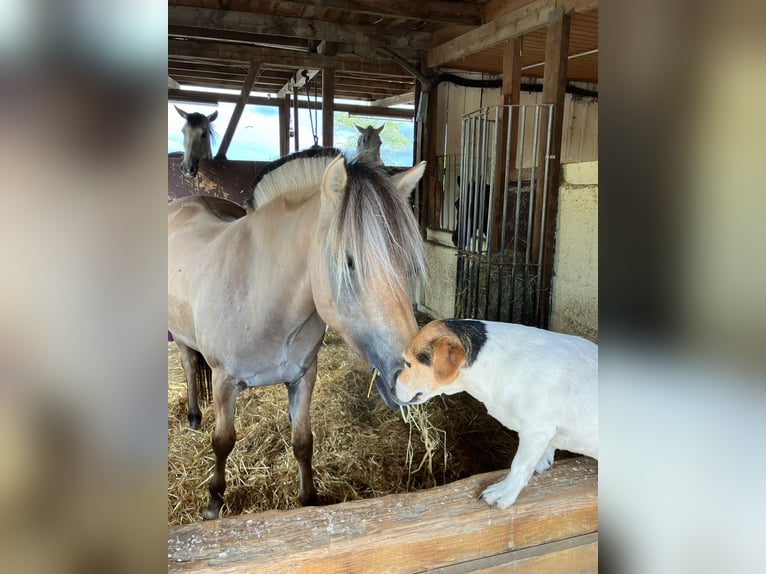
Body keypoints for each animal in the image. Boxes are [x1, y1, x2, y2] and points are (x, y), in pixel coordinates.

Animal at [168, 148, 428, 520]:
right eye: (349, 261)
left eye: (405, 262)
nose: (414, 375)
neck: (261, 296)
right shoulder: (223, 381)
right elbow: (223, 441)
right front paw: (214, 503)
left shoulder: (303, 377)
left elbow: (303, 441)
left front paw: (309, 499)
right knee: (190, 365)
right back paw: (192, 418)